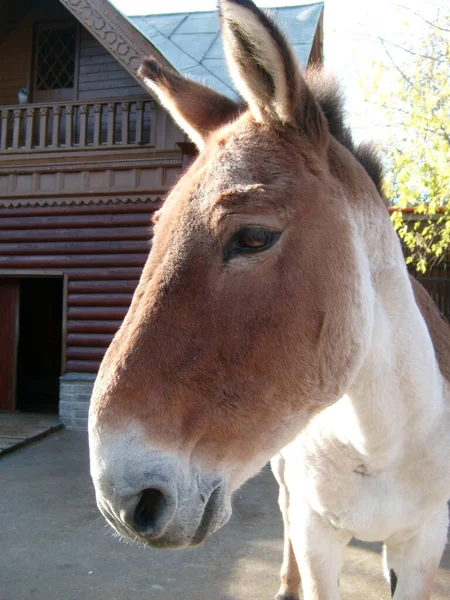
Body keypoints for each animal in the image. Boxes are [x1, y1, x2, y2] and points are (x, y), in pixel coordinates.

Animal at [89, 2, 450, 596]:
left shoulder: (422, 542)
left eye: (254, 237)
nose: (121, 503)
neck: (377, 444)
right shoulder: (316, 533)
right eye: (156, 230)